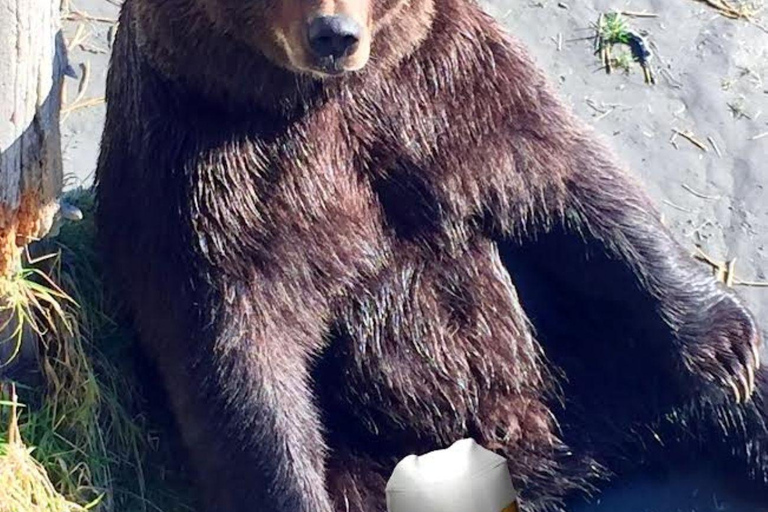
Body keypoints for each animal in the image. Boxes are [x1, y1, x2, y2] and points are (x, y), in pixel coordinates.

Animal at [94, 0, 766, 510]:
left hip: (594, 361)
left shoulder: (440, 89)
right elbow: (241, 353)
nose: (334, 35)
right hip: (372, 467)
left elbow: (569, 182)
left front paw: (725, 351)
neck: (316, 102)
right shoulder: (211, 176)